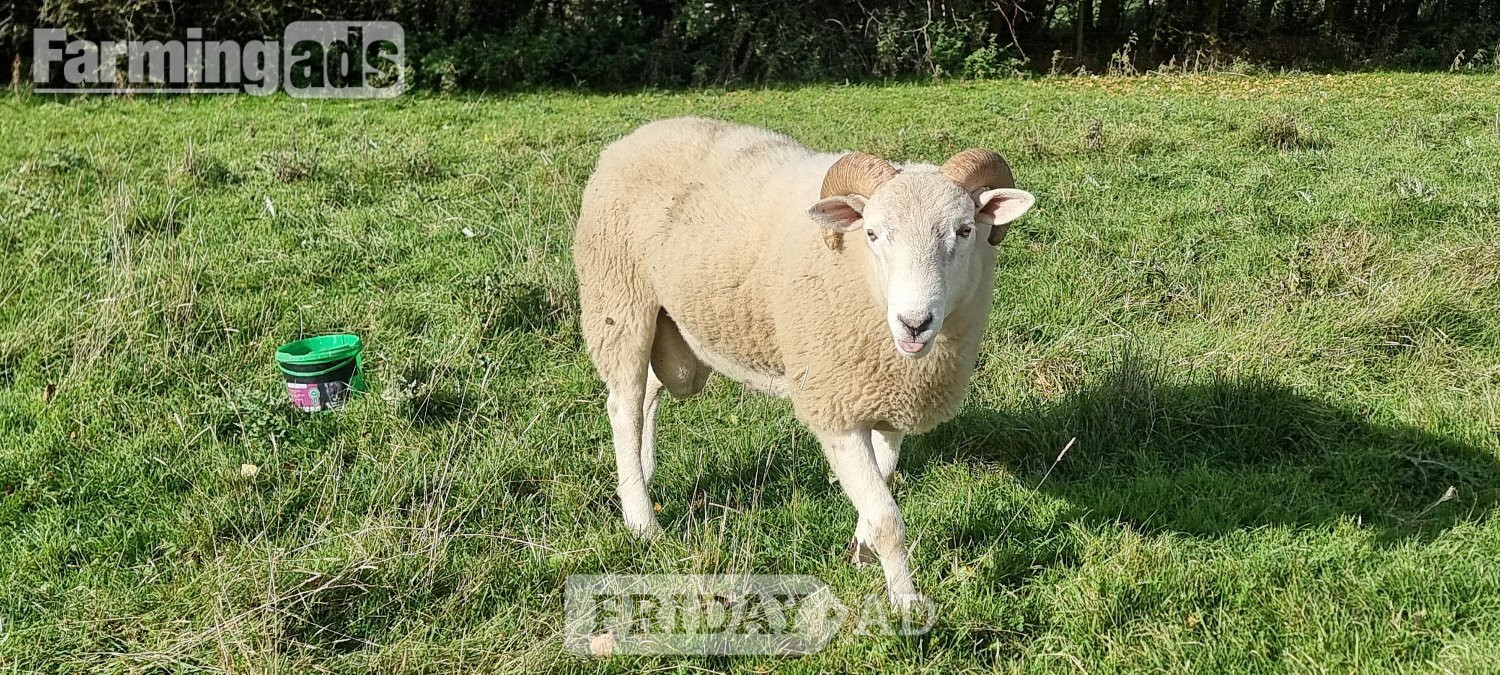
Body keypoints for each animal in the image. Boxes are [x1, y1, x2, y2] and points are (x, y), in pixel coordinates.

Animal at [572, 116, 1036, 604]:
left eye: (965, 230)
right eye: (872, 233)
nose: (915, 324)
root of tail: (632, 138)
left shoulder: (889, 398)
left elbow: (883, 484)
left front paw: (861, 551)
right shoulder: (835, 407)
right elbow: (888, 519)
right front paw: (905, 601)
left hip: (676, 335)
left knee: (649, 395)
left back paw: (640, 477)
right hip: (619, 303)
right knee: (623, 406)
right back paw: (642, 521)